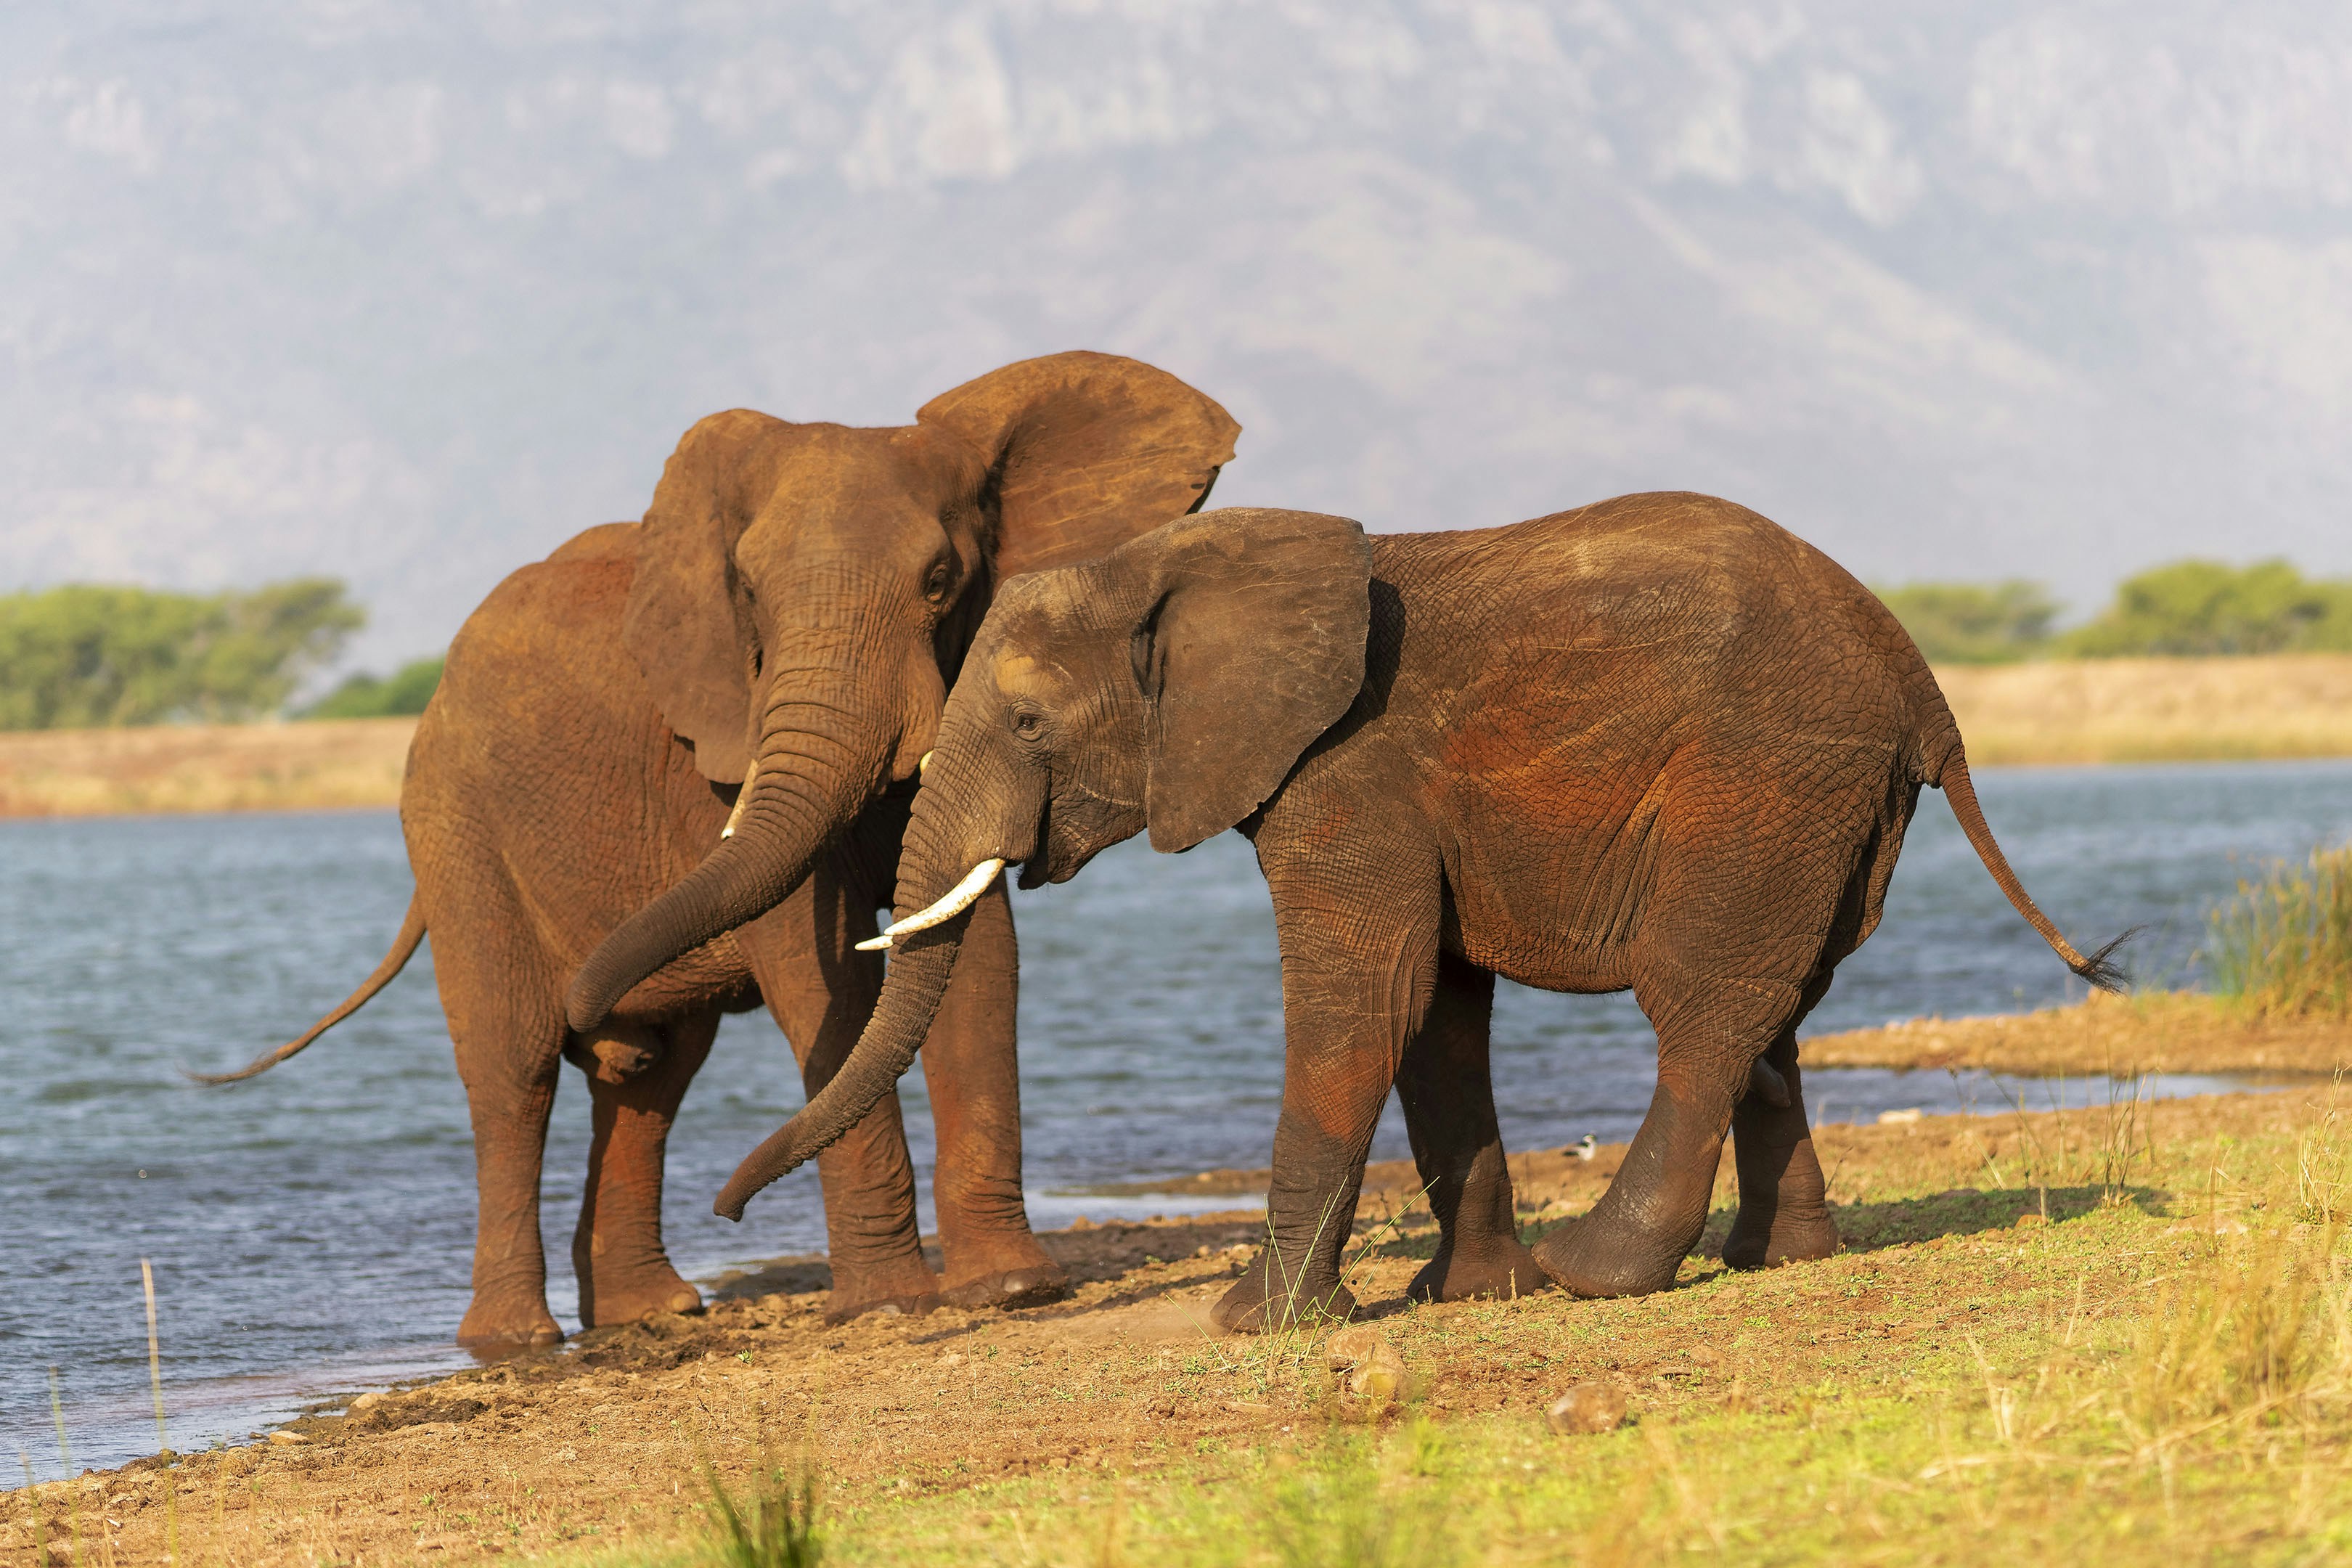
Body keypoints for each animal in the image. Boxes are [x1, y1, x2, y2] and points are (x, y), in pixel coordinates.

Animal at [204, 352, 1240, 1349]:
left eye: (941, 583)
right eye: (747, 594)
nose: (731, 1211)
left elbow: (974, 954)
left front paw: (1014, 1291)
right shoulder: (717, 757)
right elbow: (818, 978)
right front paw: (889, 1310)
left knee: (650, 1078)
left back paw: (649, 1312)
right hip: (452, 823)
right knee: (515, 1067)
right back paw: (519, 1341)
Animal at [713, 497, 2123, 1332]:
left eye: (1023, 723)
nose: (723, 1209)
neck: (1177, 562)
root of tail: (1922, 683)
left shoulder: (1349, 770)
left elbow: (1364, 996)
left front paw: (1258, 1324)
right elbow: (1438, 1012)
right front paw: (1460, 1297)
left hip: (1765, 772)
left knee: (1701, 1002)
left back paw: (1597, 1276)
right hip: (1825, 808)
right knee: (1774, 1011)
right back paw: (1777, 1262)